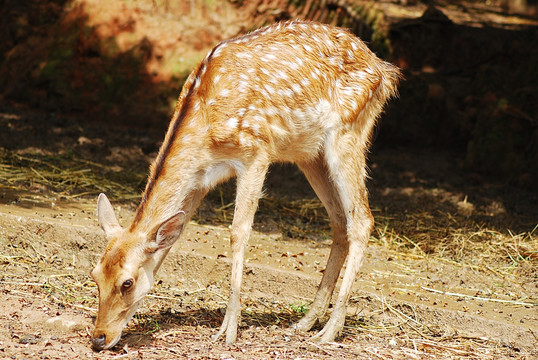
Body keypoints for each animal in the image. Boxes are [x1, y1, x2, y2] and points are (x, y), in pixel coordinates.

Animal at [90, 19, 398, 348]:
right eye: (95, 274)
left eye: (127, 282)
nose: (99, 338)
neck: (205, 132)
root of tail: (384, 70)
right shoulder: (199, 181)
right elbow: (178, 233)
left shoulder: (256, 153)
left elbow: (238, 233)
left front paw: (229, 330)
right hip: (309, 154)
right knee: (340, 220)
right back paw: (305, 322)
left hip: (348, 133)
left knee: (362, 219)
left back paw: (331, 330)